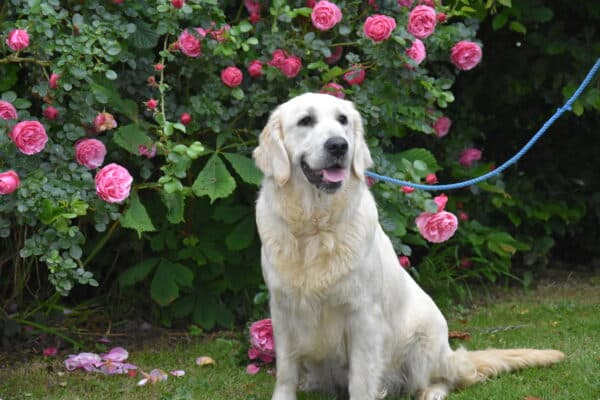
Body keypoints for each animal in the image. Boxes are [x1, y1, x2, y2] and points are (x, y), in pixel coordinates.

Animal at [252, 93, 564, 400]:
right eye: (305, 121)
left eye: (342, 120)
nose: (339, 145)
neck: (314, 227)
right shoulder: (282, 311)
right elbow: (286, 373)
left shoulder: (363, 315)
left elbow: (361, 381)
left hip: (423, 342)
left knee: (444, 378)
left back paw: (433, 392)